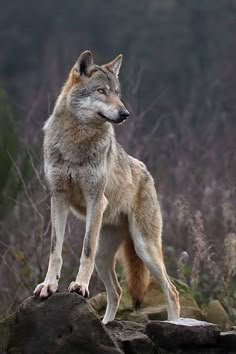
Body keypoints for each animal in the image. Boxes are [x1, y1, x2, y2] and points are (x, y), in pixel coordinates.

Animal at [34, 49, 180, 324]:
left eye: (117, 93)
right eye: (102, 91)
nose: (125, 113)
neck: (76, 141)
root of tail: (146, 172)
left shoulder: (95, 199)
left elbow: (85, 250)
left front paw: (79, 286)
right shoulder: (58, 198)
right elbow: (55, 250)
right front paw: (49, 285)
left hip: (144, 248)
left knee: (172, 290)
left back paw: (177, 324)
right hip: (107, 257)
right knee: (117, 291)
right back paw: (106, 324)